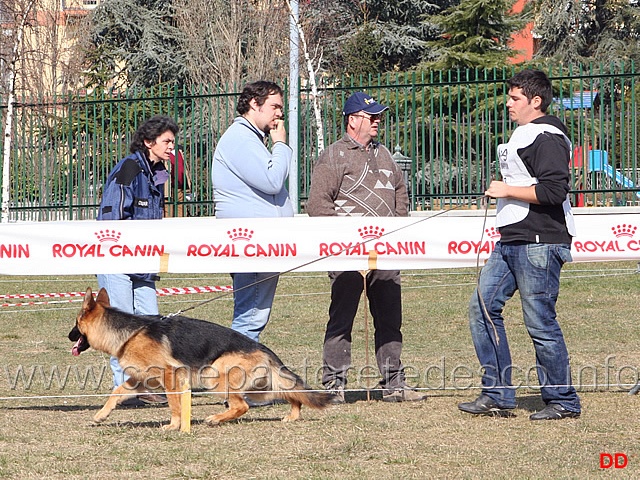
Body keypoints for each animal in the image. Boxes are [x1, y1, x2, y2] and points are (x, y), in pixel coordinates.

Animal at [68, 286, 332, 430]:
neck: (130, 333)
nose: (68, 336)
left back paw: (215, 419)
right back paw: (293, 415)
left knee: (242, 405)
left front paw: (174, 426)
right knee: (290, 394)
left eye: (75, 324)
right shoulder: (141, 379)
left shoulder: (169, 376)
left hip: (214, 377)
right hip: (261, 387)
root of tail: (263, 348)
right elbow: (117, 392)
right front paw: (101, 415)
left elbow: (175, 404)